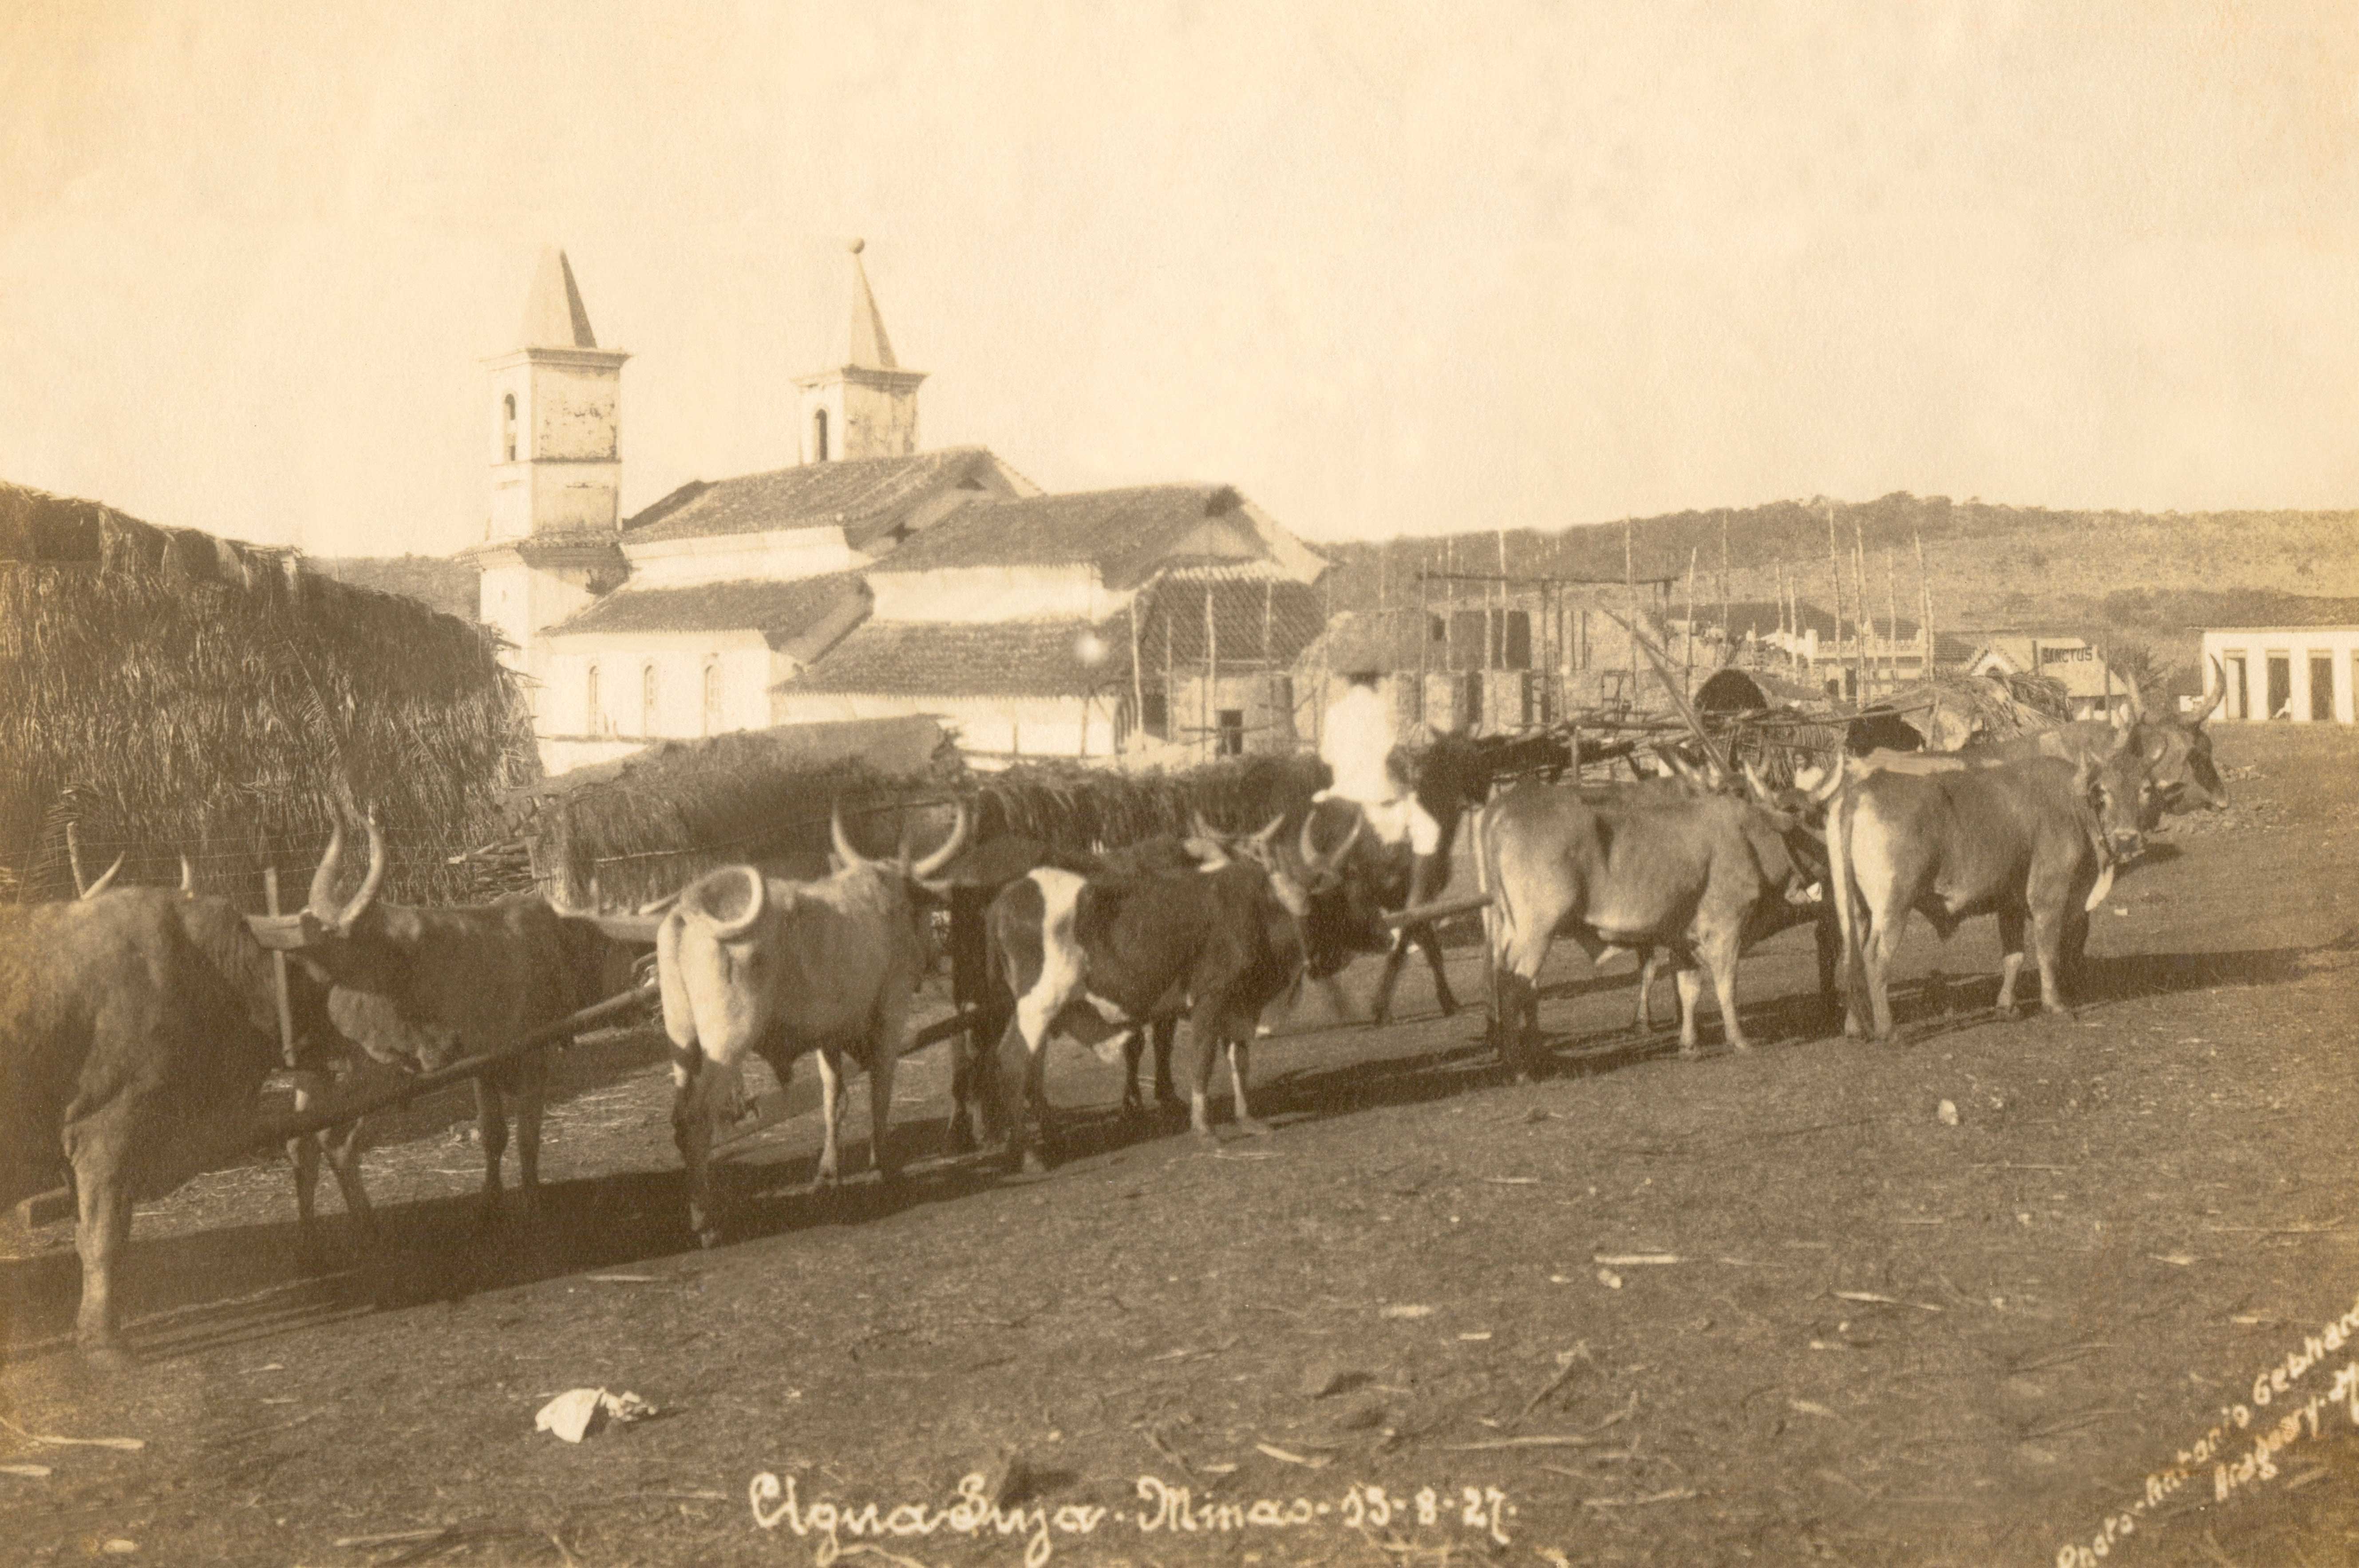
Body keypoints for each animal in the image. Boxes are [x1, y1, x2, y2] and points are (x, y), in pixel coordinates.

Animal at [248, 814, 612, 1228]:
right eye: (392, 959)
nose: (446, 1046)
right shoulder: (526, 1056)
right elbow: (520, 1136)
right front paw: (528, 1203)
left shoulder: (493, 1062)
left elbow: (500, 1134)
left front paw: (493, 1200)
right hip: (363, 1075)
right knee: (333, 1141)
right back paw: (366, 1226)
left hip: (318, 1073)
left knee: (302, 1143)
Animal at [655, 801, 970, 1247]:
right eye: (924, 911)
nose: (932, 957)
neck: (882, 897)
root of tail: (689, 908)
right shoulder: (889, 1016)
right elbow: (880, 1091)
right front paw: (883, 1166)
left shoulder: (829, 1035)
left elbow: (832, 1098)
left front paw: (828, 1173)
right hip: (727, 1041)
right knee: (698, 1118)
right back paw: (706, 1221)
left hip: (682, 1042)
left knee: (680, 1117)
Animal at [980, 817, 1361, 1173]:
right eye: (1328, 910)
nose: (1340, 958)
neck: (1258, 908)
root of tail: (1003, 900)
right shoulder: (1210, 997)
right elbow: (1203, 1059)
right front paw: (1204, 1128)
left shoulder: (1238, 1004)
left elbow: (1238, 1059)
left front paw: (1247, 1119)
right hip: (1038, 1005)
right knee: (1014, 1063)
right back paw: (1028, 1154)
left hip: (1036, 1012)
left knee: (1029, 1066)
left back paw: (1040, 1140)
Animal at [1475, 773, 1829, 1075]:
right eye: (1812, 815)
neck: (1754, 835)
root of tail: (1504, 807)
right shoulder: (1726, 928)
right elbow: (1726, 985)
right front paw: (1739, 1040)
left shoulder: (1684, 939)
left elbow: (1689, 990)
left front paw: (1689, 1045)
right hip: (1535, 933)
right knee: (1514, 985)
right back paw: (1519, 1065)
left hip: (1508, 930)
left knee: (1506, 980)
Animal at [1825, 735, 2148, 1042]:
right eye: (2102, 793)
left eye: (2145, 789)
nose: (2128, 838)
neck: (2072, 804)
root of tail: (1862, 790)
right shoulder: (2048, 898)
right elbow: (2048, 953)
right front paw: (2055, 1005)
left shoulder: (2011, 904)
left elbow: (2014, 957)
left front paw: (2007, 1007)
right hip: (1894, 905)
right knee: (1875, 957)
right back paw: (1887, 1030)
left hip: (1855, 909)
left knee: (1851, 956)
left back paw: (1855, 1027)